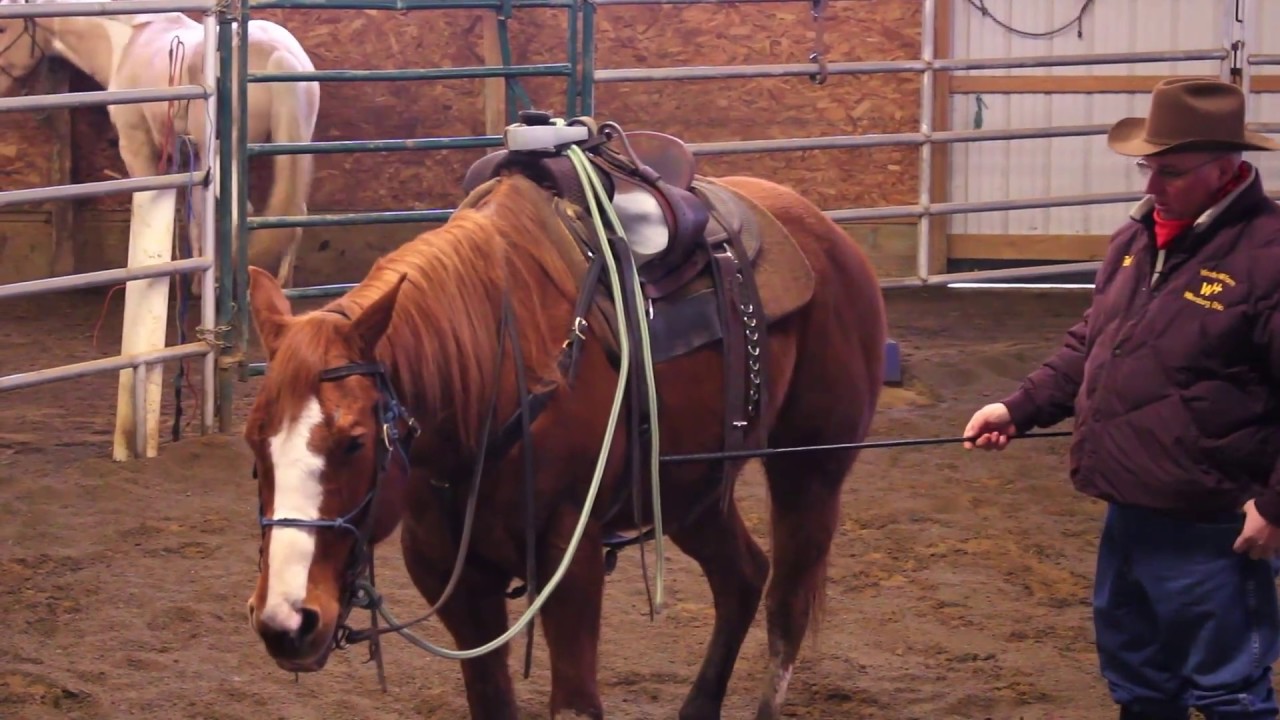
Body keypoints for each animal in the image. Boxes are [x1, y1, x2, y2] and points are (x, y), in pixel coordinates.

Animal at [0, 0, 319, 288]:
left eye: (3, 27)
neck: (125, 45)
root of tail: (279, 53)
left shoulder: (137, 145)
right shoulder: (189, 154)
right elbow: (195, 215)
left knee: (244, 211)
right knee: (294, 213)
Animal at [240, 119, 887, 720]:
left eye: (354, 441)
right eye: (254, 443)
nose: (287, 621)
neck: (493, 379)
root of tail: (825, 233)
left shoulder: (569, 557)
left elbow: (575, 701)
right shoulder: (448, 570)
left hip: (810, 472)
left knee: (786, 607)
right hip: (691, 487)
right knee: (743, 577)